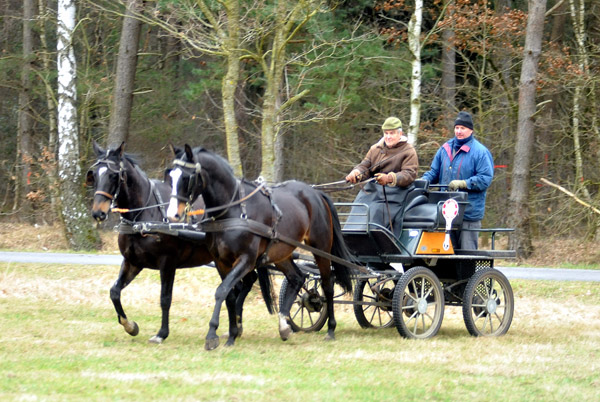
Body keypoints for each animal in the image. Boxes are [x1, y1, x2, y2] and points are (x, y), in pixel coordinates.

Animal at [85, 141, 274, 342]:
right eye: (94, 175)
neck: (144, 215)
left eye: (113, 175)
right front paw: (131, 326)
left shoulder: (167, 262)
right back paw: (236, 326)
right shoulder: (133, 262)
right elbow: (114, 292)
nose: (98, 213)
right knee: (245, 283)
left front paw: (161, 333)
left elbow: (165, 298)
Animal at [164, 146, 356, 350]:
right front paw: (232, 334)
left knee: (328, 285)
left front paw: (212, 335)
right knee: (297, 278)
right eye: (170, 176)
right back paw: (284, 326)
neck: (233, 211)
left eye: (187, 178)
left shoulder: (246, 260)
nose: (172, 214)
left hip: (321, 248)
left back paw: (331, 329)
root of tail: (315, 193)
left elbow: (221, 291)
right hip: (281, 252)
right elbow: (229, 295)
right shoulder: (221, 261)